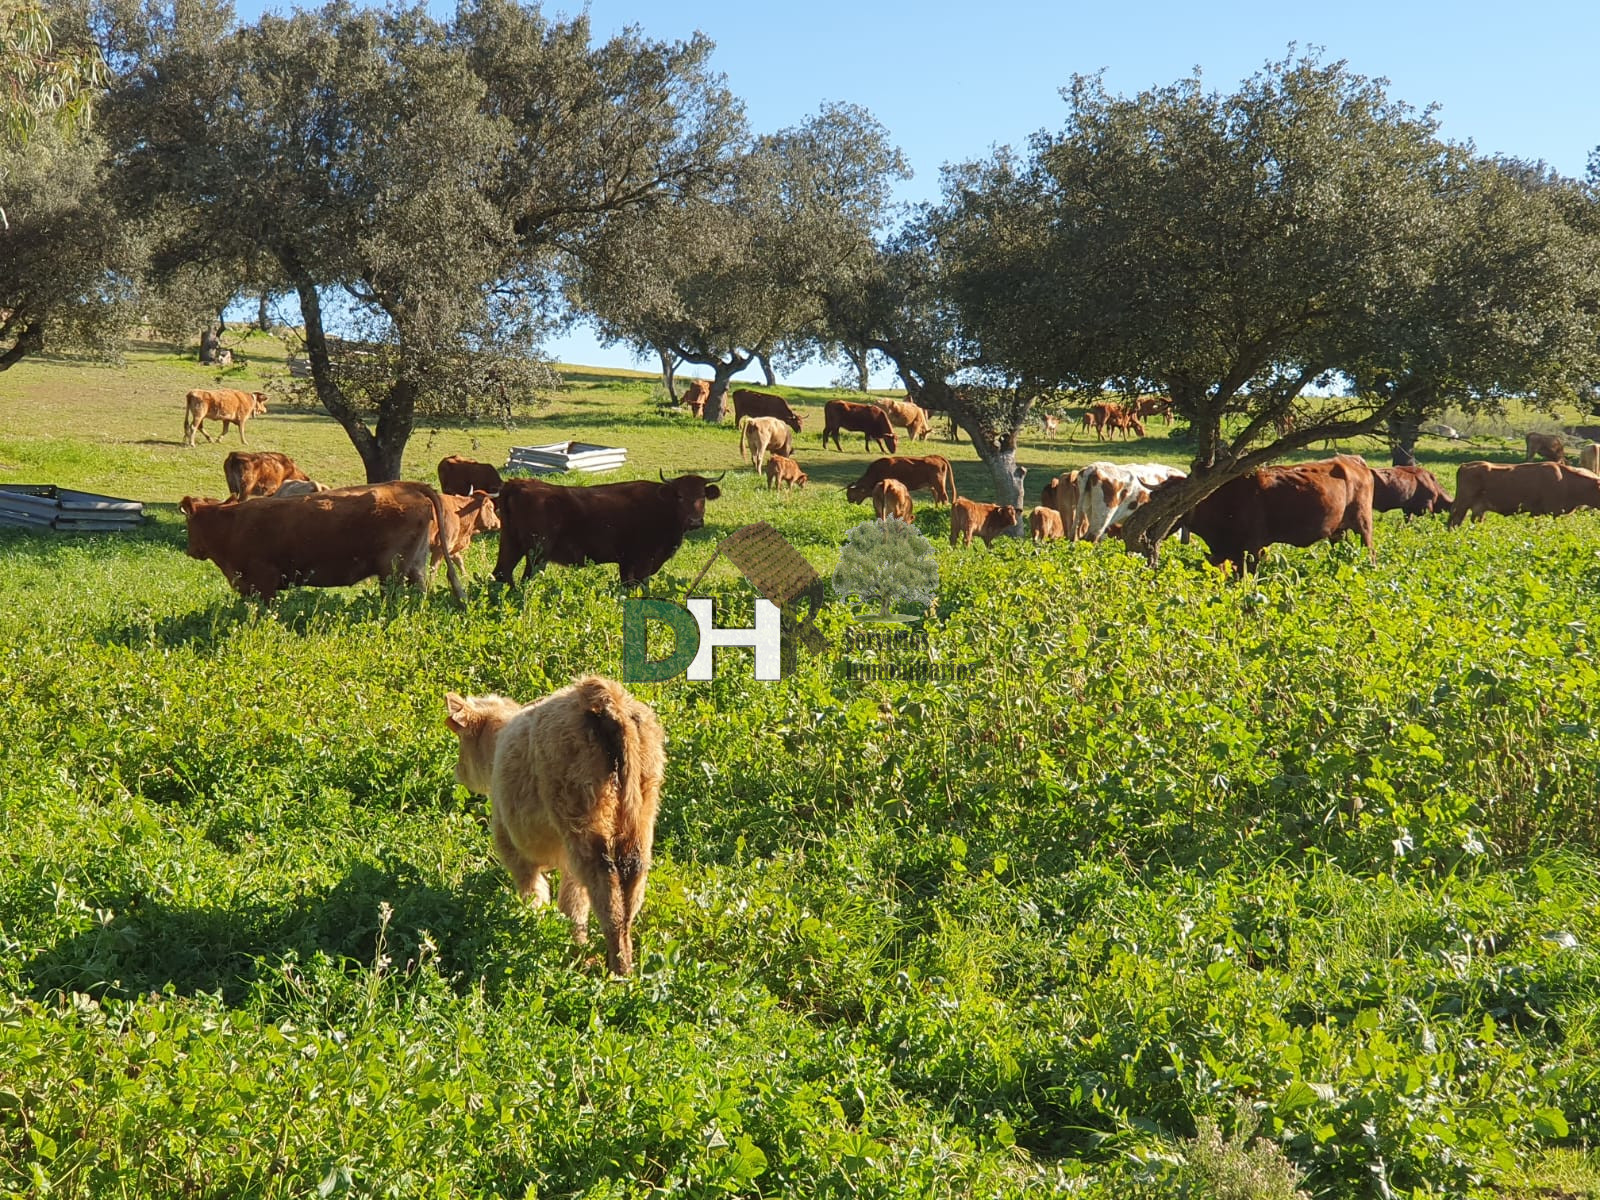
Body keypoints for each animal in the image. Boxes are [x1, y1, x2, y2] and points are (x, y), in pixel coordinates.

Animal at [183, 483, 467, 604]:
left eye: (187, 520)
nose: (190, 550)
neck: (232, 524)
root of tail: (407, 486)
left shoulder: (264, 581)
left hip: (392, 569)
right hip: (414, 564)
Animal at [444, 678, 662, 979]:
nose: (458, 771)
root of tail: (607, 697)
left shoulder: (514, 849)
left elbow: (536, 895)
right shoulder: (568, 863)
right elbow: (573, 905)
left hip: (583, 826)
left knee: (607, 898)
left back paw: (616, 972)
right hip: (640, 824)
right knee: (629, 892)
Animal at [489, 470, 723, 588]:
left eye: (702, 496)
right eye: (680, 496)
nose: (695, 521)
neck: (662, 504)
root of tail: (516, 484)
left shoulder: (626, 562)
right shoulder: (643, 562)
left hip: (511, 544)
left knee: (502, 574)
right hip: (537, 554)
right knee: (525, 578)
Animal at [1164, 454, 1376, 579]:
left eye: (1172, 502)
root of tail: (1353, 460)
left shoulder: (1253, 548)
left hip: (1363, 523)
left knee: (1370, 551)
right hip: (1338, 530)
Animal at [1446, 460, 1600, 524]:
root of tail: (1465, 465)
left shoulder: (1536, 512)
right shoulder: (1551, 512)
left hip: (1478, 509)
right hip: (1462, 504)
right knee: (1454, 521)